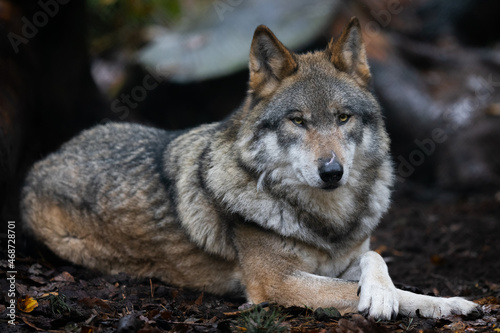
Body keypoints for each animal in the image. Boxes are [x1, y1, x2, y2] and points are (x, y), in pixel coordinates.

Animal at [21, 18, 478, 320]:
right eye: (298, 121)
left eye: (343, 118)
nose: (332, 172)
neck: (326, 223)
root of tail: (49, 158)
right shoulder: (279, 282)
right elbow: (359, 290)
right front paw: (400, 302)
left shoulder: (347, 257)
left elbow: (377, 259)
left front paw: (439, 301)